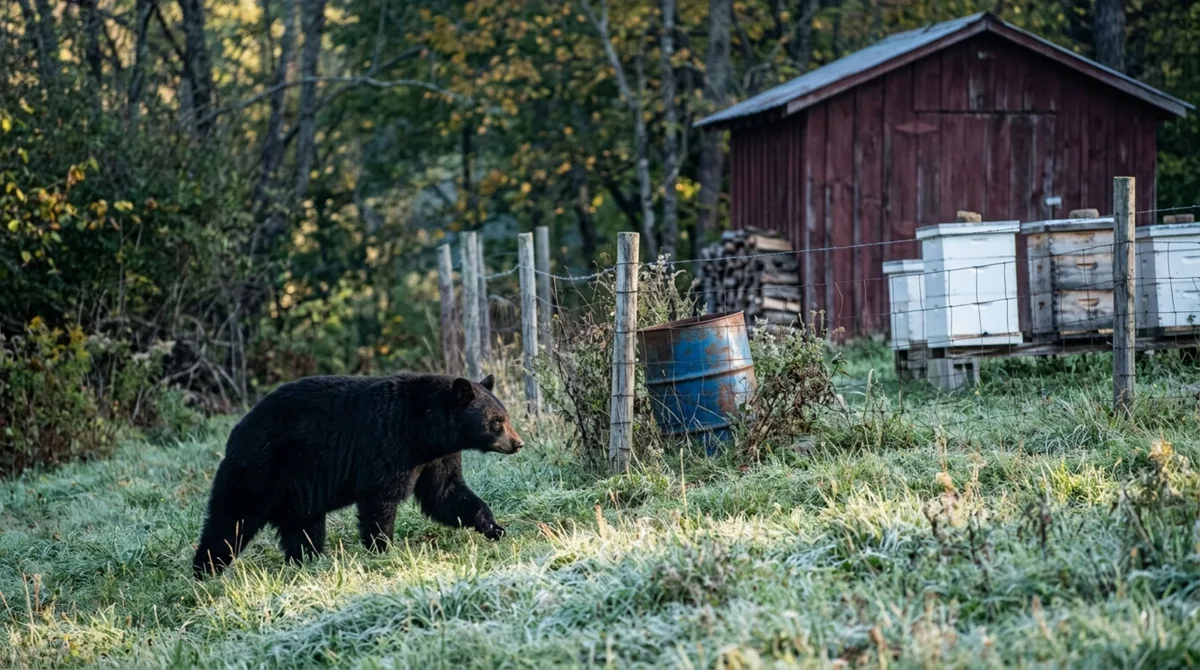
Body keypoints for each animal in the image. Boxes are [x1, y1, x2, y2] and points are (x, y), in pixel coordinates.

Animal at [192, 373, 522, 578]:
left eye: (506, 416)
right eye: (496, 421)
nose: (518, 443)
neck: (423, 429)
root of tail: (235, 433)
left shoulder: (436, 457)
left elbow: (445, 493)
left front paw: (494, 527)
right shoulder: (387, 443)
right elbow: (380, 497)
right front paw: (383, 548)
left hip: (298, 492)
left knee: (304, 529)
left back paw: (307, 562)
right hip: (259, 470)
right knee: (230, 520)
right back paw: (206, 570)